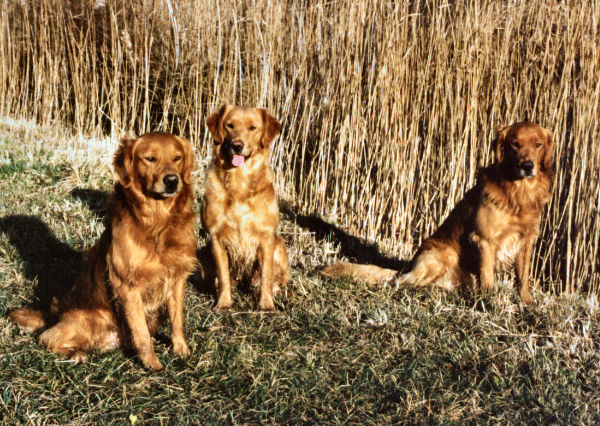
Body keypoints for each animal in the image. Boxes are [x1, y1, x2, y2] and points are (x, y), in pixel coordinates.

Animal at [8, 132, 197, 370]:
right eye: (150, 158)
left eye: (177, 158)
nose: (172, 180)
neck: (158, 222)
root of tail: (55, 313)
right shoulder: (128, 286)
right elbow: (142, 333)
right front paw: (152, 364)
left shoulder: (177, 278)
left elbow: (177, 320)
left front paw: (181, 351)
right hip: (91, 317)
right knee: (46, 337)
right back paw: (76, 354)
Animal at [202, 105, 290, 312]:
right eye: (229, 125)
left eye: (252, 127)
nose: (237, 145)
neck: (239, 181)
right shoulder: (216, 237)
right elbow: (223, 276)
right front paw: (224, 303)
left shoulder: (266, 238)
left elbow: (266, 276)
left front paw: (266, 305)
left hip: (279, 246)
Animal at [324, 121, 552, 304]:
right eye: (515, 144)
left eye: (538, 144)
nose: (527, 165)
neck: (519, 193)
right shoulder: (485, 240)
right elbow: (488, 278)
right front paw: (489, 304)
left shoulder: (526, 241)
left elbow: (523, 277)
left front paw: (527, 302)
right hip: (443, 257)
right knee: (400, 281)